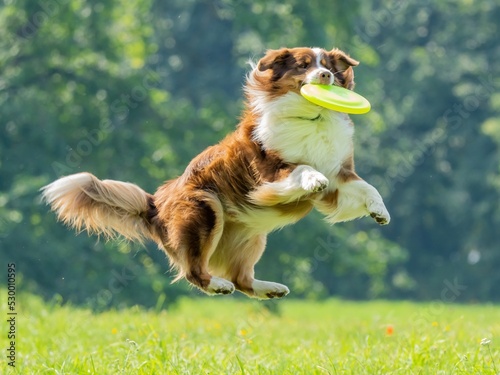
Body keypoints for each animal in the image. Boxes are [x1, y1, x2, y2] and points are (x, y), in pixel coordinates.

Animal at [42, 46, 390, 300]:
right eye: (304, 65)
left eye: (328, 64)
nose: (326, 74)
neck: (312, 117)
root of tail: (155, 204)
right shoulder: (267, 169)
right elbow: (303, 167)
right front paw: (312, 179)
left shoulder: (339, 177)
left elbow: (367, 188)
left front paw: (380, 212)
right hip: (204, 210)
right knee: (195, 271)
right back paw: (218, 284)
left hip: (252, 236)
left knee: (243, 279)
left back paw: (270, 289)